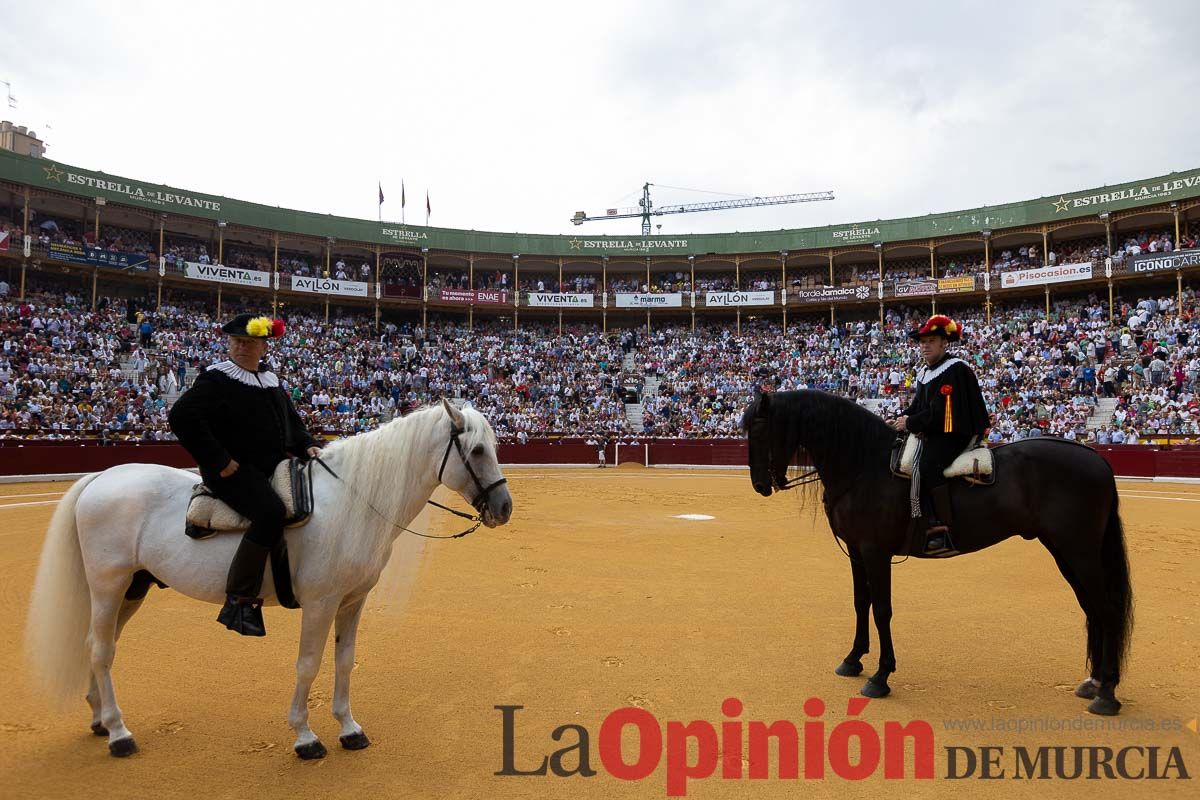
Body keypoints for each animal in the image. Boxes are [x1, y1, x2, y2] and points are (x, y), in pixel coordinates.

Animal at [24, 402, 511, 762]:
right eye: (476, 451)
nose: (504, 507)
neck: (353, 500)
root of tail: (102, 477)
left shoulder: (352, 601)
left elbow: (345, 661)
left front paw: (349, 729)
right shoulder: (321, 602)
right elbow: (308, 664)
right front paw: (306, 737)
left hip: (132, 588)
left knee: (99, 644)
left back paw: (99, 719)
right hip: (107, 585)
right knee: (101, 650)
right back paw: (120, 734)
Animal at [739, 391, 1132, 714]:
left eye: (758, 431)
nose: (759, 485)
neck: (864, 465)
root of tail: (1095, 458)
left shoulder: (875, 552)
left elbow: (882, 609)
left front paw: (880, 677)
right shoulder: (856, 550)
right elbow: (860, 602)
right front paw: (853, 660)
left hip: (1080, 551)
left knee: (1107, 609)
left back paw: (1107, 694)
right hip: (1064, 551)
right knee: (1091, 607)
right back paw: (1094, 681)